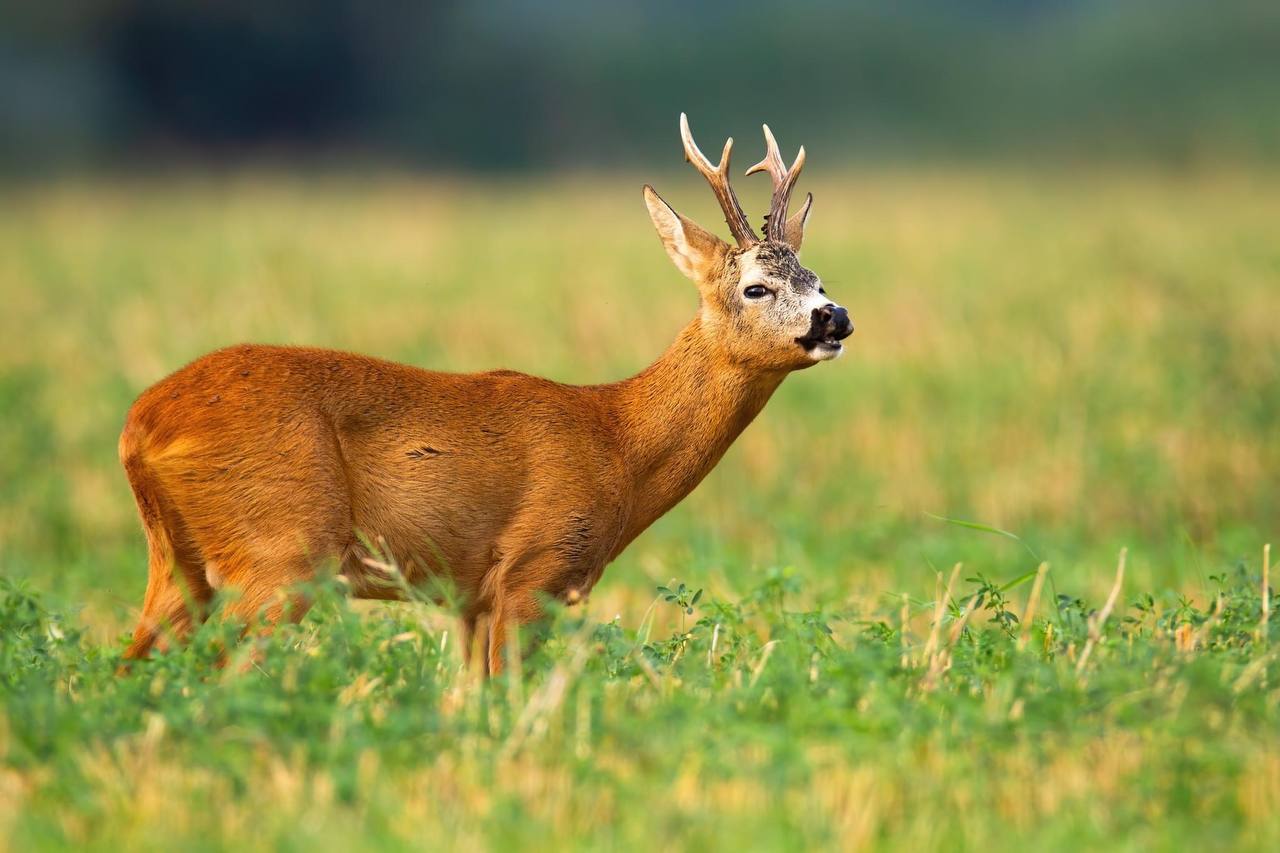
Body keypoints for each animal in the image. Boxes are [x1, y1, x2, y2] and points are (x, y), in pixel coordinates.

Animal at [118, 114, 854, 675]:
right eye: (757, 286)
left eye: (816, 278)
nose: (835, 317)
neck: (617, 439)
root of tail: (139, 425)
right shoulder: (533, 570)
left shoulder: (470, 598)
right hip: (282, 548)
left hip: (179, 563)